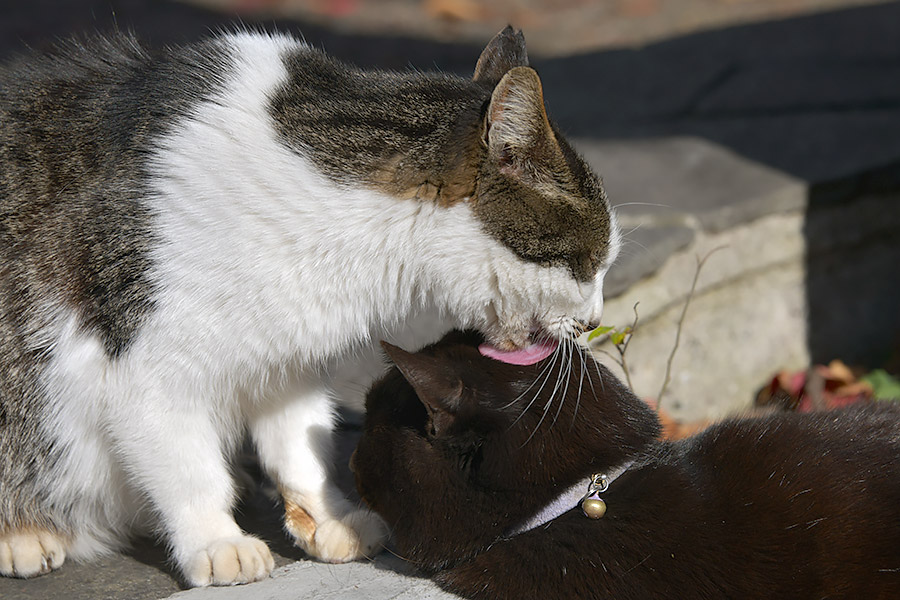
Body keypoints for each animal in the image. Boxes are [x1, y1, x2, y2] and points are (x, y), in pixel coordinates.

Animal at [0, 28, 620, 584]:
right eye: (587, 262)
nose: (594, 320)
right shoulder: (148, 368)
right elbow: (187, 464)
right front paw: (215, 539)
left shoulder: (284, 358)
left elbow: (300, 441)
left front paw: (328, 516)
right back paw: (24, 533)